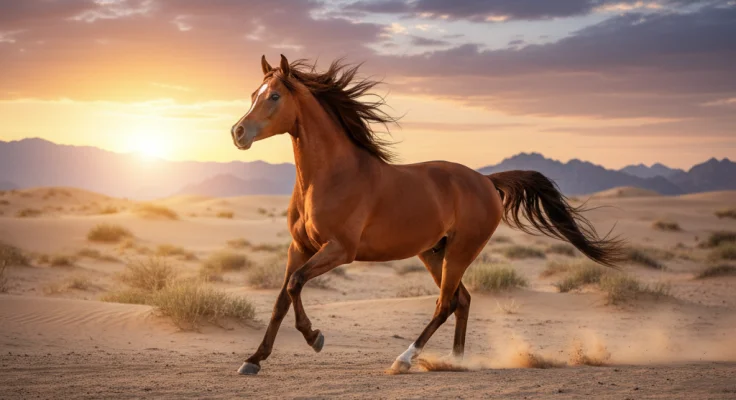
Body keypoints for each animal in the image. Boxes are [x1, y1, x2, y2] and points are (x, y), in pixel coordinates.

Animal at [230, 54, 623, 375]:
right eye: (252, 94)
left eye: (274, 96)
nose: (237, 132)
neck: (332, 177)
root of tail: (486, 180)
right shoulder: (300, 247)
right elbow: (282, 297)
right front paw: (253, 360)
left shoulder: (340, 250)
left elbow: (295, 284)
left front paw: (315, 337)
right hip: (435, 252)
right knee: (462, 301)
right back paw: (455, 361)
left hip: (460, 251)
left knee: (445, 303)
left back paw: (405, 359)